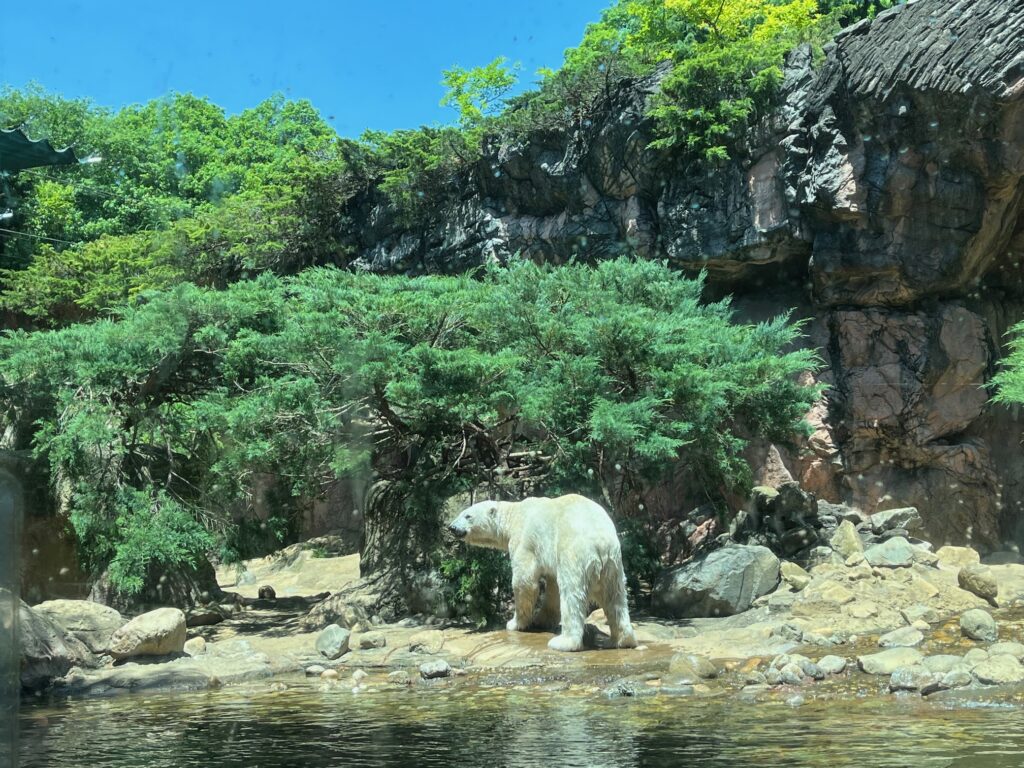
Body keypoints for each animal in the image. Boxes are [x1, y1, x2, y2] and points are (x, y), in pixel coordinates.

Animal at [450, 495, 638, 651]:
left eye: (467, 515)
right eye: (462, 512)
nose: (451, 527)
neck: (514, 515)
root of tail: (600, 543)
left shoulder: (525, 541)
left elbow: (524, 581)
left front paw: (515, 623)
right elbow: (552, 586)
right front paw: (542, 620)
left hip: (574, 553)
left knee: (572, 594)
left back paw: (563, 642)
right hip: (613, 564)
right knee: (614, 597)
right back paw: (620, 640)